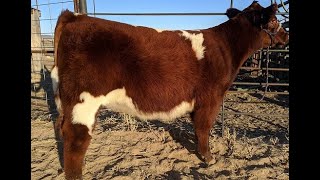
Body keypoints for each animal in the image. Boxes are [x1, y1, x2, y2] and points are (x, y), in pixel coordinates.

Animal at [50, 2, 288, 179]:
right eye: (274, 20)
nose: (287, 36)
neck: (226, 48)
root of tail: (74, 17)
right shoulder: (210, 98)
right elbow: (204, 128)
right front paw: (208, 158)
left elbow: (197, 129)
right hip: (83, 99)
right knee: (76, 138)